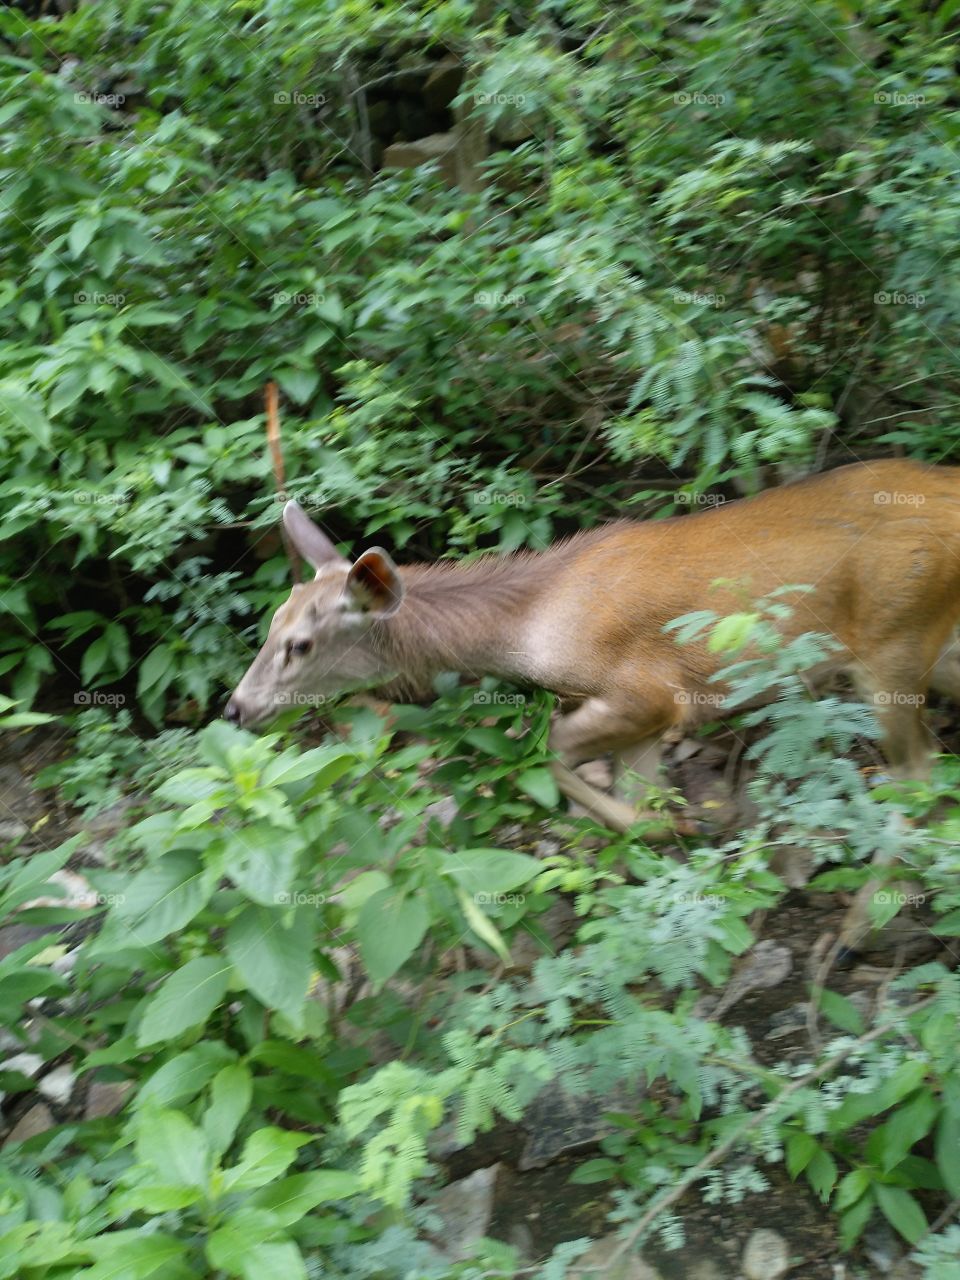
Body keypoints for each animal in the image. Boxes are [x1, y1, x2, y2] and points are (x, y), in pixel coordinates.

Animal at [225, 459, 960, 950]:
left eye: (299, 644)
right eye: (269, 624)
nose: (235, 709)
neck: (532, 627)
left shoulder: (651, 695)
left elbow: (547, 756)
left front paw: (682, 828)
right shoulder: (641, 723)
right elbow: (632, 797)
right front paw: (657, 860)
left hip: (894, 639)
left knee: (919, 769)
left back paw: (862, 924)